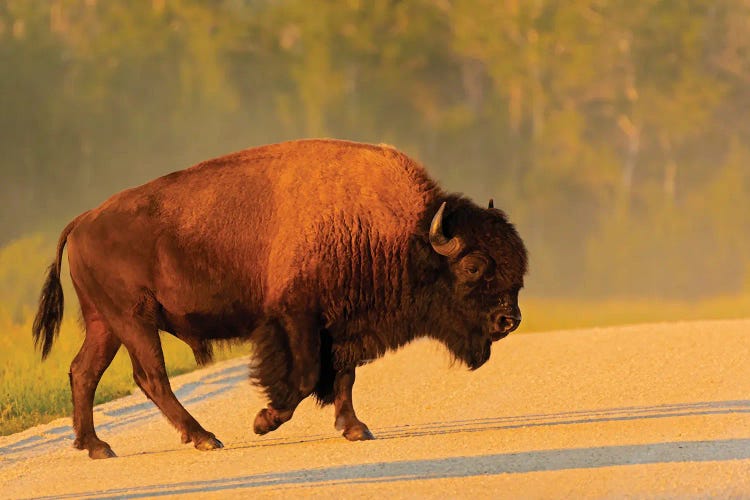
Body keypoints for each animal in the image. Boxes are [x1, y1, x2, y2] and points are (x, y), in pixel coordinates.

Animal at [33, 139, 528, 458]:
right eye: (474, 266)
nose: (510, 321)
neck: (403, 234)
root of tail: (82, 220)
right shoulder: (297, 318)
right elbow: (306, 376)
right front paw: (264, 419)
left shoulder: (341, 325)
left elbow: (344, 377)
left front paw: (355, 429)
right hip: (132, 320)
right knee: (150, 376)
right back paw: (204, 437)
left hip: (106, 323)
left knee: (85, 372)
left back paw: (96, 446)